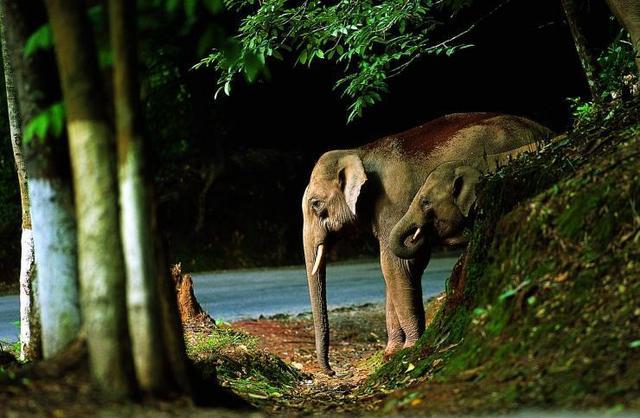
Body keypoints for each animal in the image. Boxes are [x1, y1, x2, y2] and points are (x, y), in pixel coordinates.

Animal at [302, 112, 552, 372]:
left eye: (316, 204)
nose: (332, 371)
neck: (359, 151)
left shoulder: (393, 203)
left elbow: (396, 265)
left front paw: (408, 349)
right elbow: (400, 268)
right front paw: (391, 353)